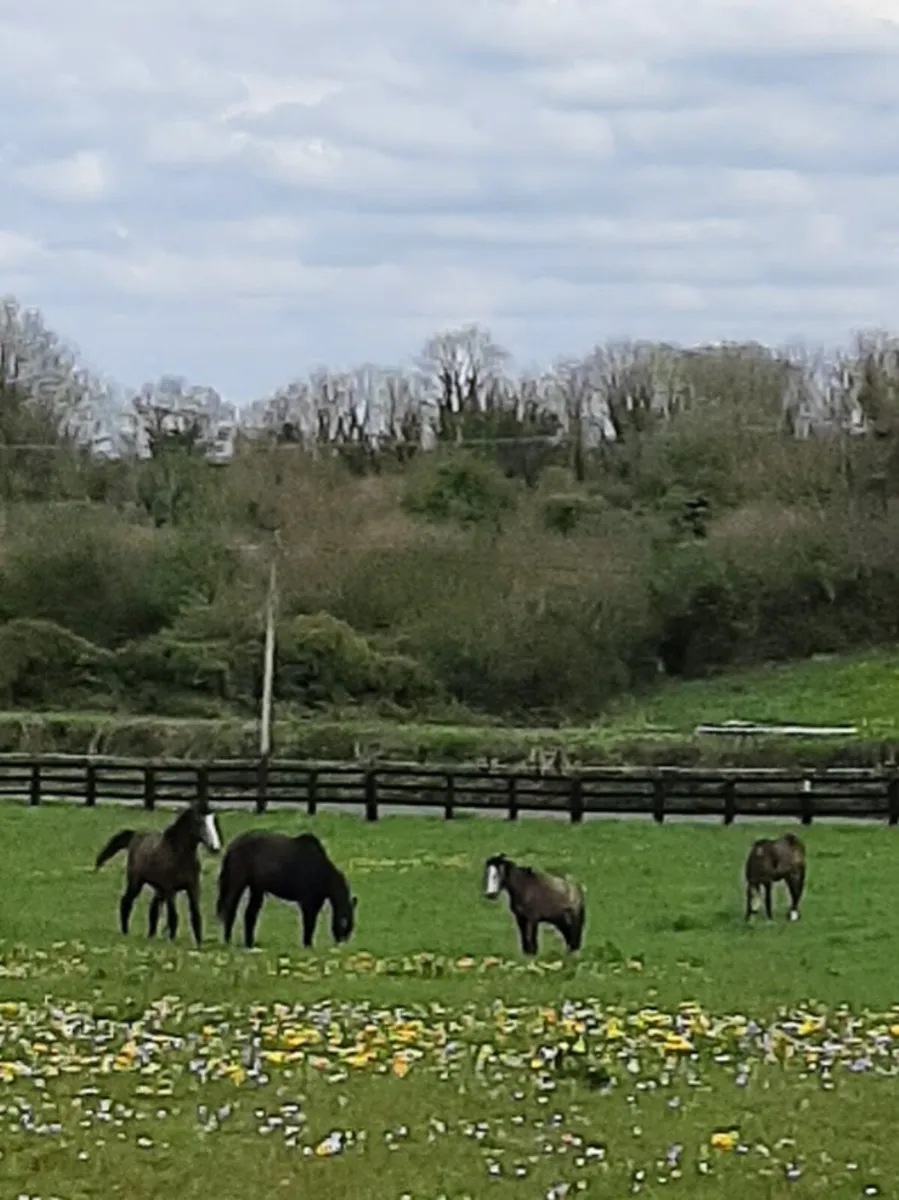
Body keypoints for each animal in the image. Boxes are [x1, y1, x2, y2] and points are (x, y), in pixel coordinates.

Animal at [94, 798, 222, 945]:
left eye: (213, 820)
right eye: (200, 822)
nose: (215, 848)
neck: (178, 854)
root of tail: (135, 835)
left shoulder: (193, 888)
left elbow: (195, 915)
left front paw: (198, 943)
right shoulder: (170, 890)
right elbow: (173, 917)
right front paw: (171, 941)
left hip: (158, 889)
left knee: (153, 910)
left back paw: (151, 936)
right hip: (136, 883)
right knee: (126, 901)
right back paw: (125, 932)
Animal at [216, 830, 357, 949]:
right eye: (343, 921)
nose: (341, 943)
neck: (321, 871)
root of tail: (233, 845)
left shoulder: (316, 903)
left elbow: (312, 924)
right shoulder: (307, 903)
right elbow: (309, 923)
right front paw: (307, 945)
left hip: (257, 888)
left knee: (250, 915)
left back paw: (249, 944)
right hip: (237, 883)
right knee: (230, 910)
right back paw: (228, 941)